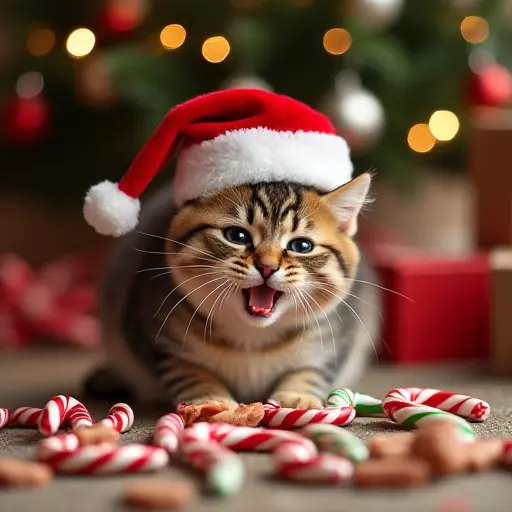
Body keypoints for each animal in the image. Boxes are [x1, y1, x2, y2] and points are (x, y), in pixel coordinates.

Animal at [85, 172, 380, 408]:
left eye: (302, 246)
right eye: (237, 236)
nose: (267, 266)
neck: (252, 338)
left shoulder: (335, 339)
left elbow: (310, 370)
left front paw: (298, 395)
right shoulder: (152, 334)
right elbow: (188, 370)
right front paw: (209, 396)